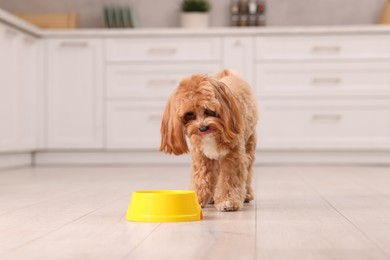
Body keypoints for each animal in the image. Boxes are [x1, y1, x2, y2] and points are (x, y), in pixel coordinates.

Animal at [160, 68, 258, 211]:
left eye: (208, 110)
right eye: (189, 114)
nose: (203, 127)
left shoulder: (233, 156)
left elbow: (230, 179)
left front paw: (227, 201)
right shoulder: (201, 157)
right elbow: (202, 179)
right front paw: (198, 200)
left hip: (249, 145)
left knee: (248, 172)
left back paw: (247, 194)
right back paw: (212, 198)